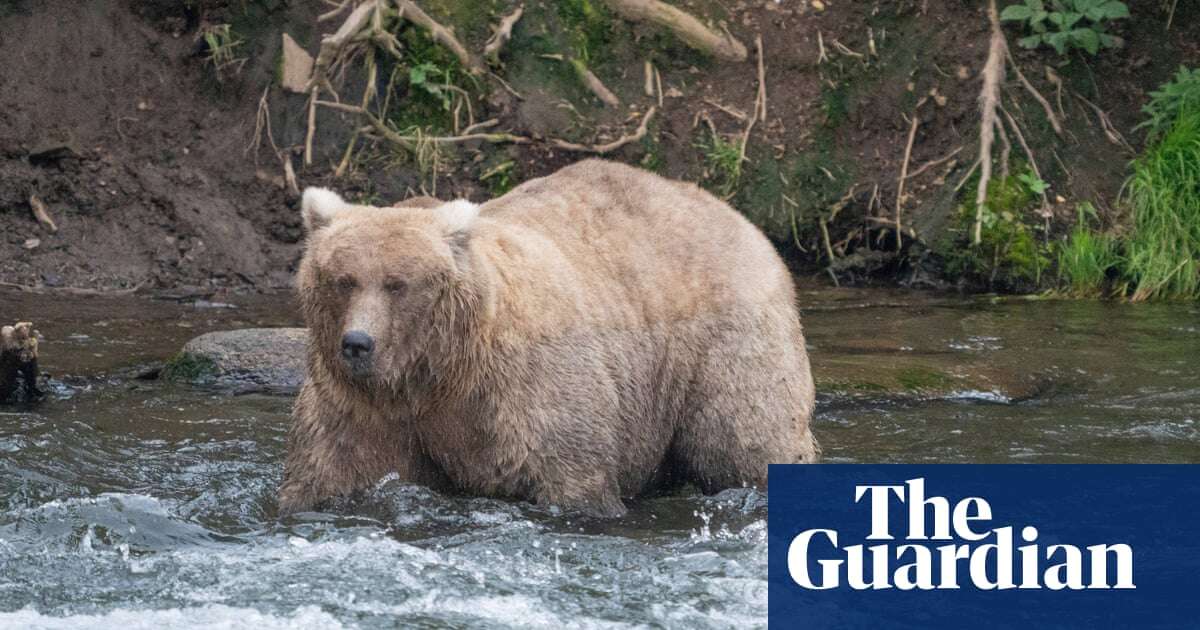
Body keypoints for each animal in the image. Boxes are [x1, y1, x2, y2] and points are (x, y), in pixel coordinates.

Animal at [282, 157, 820, 516]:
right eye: (343, 279)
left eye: (398, 283)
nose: (357, 343)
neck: (437, 371)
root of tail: (738, 217)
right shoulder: (363, 406)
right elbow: (332, 470)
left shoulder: (524, 390)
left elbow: (569, 474)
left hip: (724, 343)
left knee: (747, 439)